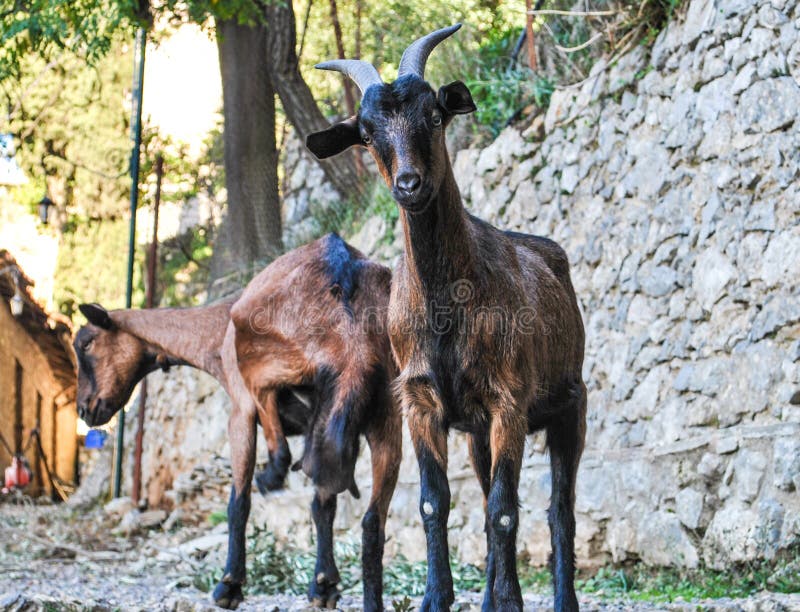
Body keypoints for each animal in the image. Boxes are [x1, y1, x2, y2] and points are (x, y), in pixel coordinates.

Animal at [74, 233, 400, 611]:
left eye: (86, 343)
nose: (85, 410)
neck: (214, 333)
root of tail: (342, 269)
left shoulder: (240, 412)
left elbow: (238, 501)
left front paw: (229, 583)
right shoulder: (323, 427)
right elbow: (323, 503)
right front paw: (324, 584)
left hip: (266, 362)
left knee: (275, 435)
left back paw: (271, 474)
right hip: (384, 408)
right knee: (372, 521)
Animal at [306, 26, 586, 612]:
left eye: (434, 115)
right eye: (366, 133)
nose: (409, 184)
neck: (445, 305)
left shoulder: (509, 400)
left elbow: (506, 510)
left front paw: (509, 601)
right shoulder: (420, 402)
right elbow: (438, 503)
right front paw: (437, 597)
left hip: (571, 405)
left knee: (559, 510)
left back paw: (558, 600)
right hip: (479, 435)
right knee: (486, 500)